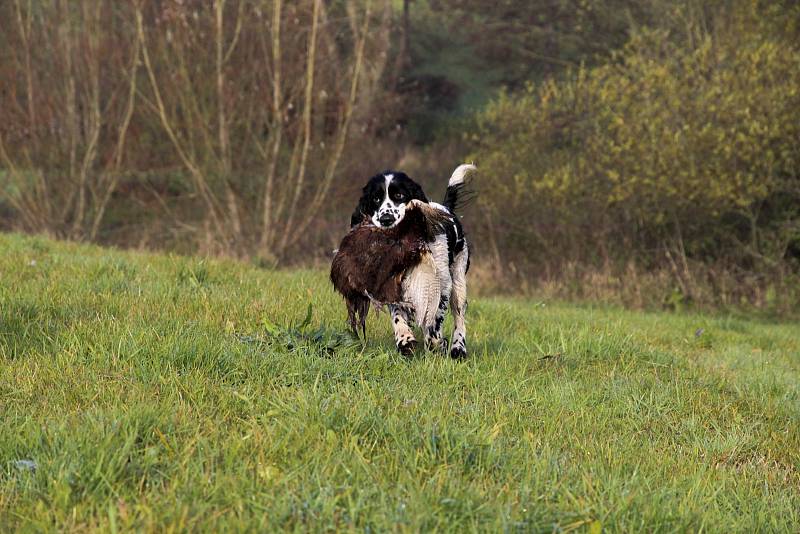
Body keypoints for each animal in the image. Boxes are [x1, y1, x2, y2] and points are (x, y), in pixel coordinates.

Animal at [350, 166, 476, 360]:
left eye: (400, 195)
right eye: (376, 198)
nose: (386, 220)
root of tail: (447, 208)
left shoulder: (442, 285)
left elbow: (435, 319)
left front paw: (436, 343)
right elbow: (397, 314)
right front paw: (405, 339)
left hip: (458, 281)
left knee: (459, 316)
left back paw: (458, 348)